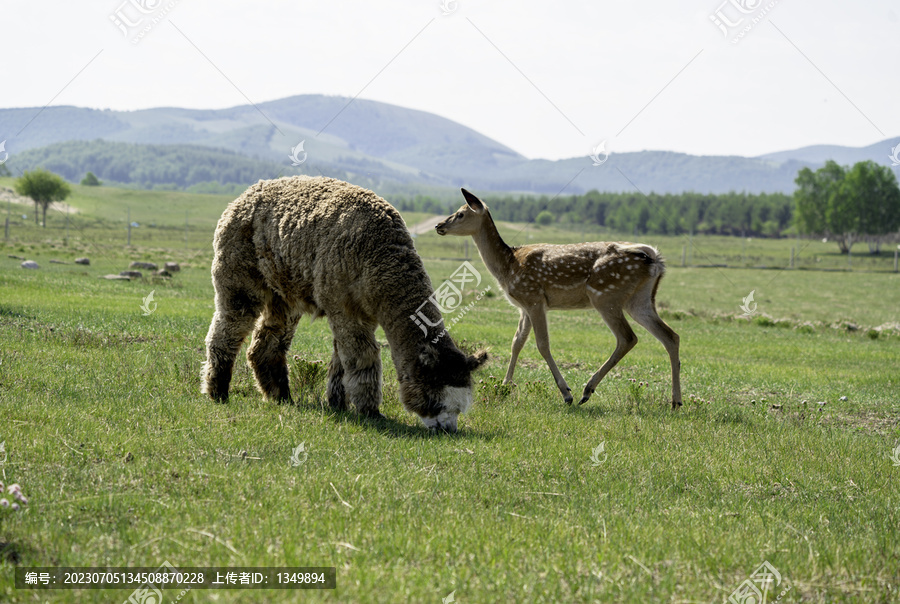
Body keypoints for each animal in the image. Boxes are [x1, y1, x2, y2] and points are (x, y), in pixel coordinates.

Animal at [436, 189, 684, 410]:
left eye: (460, 213)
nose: (439, 226)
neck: (508, 266)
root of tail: (655, 258)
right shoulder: (524, 306)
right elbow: (516, 342)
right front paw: (505, 386)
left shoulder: (534, 298)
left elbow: (542, 344)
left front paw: (566, 393)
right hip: (639, 300)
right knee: (671, 336)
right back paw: (675, 402)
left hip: (605, 295)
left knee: (628, 338)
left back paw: (587, 390)